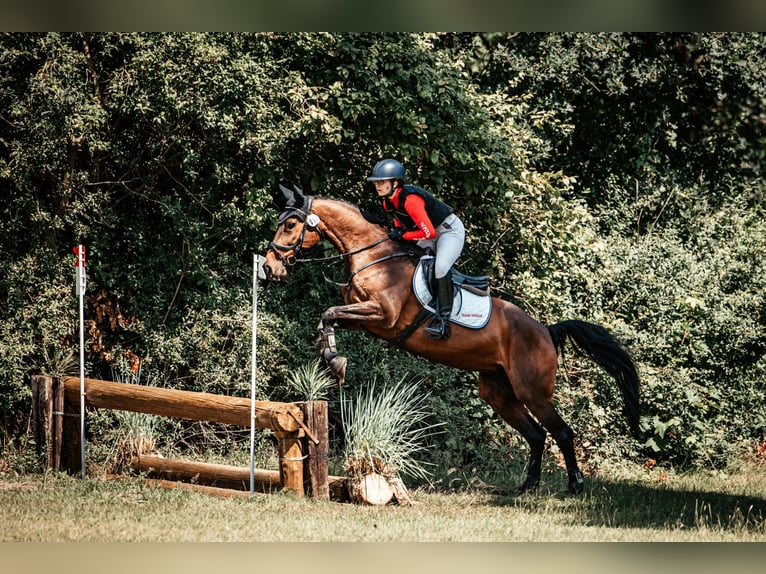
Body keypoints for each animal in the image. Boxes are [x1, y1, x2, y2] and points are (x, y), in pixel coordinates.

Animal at [264, 184, 640, 496]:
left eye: (290, 225)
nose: (269, 268)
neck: (373, 256)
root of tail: (545, 331)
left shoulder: (382, 316)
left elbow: (329, 311)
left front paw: (334, 359)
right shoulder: (365, 318)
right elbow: (329, 316)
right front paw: (330, 356)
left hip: (531, 390)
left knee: (561, 432)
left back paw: (574, 485)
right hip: (498, 391)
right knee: (536, 435)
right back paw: (527, 486)